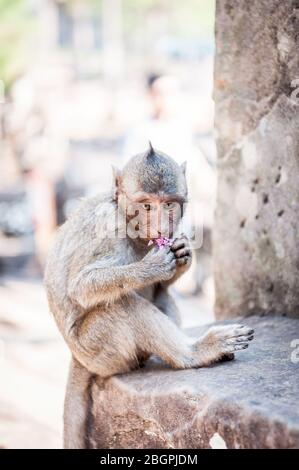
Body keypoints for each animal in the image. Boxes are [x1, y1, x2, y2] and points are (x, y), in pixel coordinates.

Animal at [44, 143, 255, 448]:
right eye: (145, 206)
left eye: (168, 204)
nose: (160, 227)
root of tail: (78, 357)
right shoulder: (107, 229)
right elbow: (81, 286)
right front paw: (151, 267)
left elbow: (163, 285)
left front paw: (184, 254)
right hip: (99, 351)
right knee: (124, 306)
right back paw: (194, 354)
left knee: (162, 296)